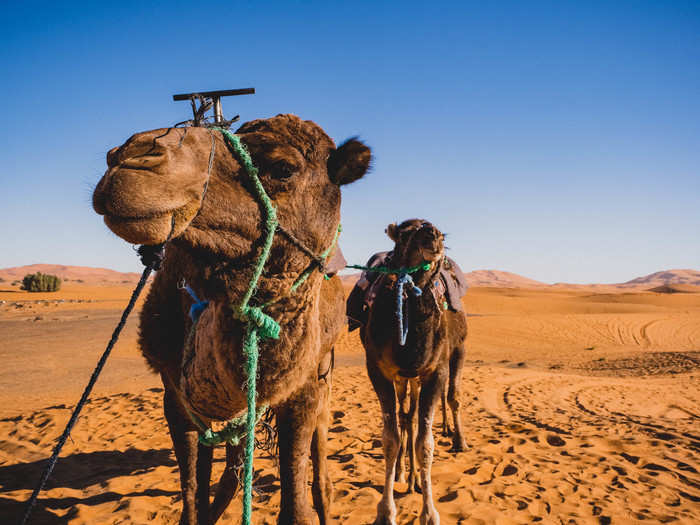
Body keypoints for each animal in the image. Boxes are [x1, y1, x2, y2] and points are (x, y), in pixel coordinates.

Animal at [93, 115, 372, 524]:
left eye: (283, 168)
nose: (130, 155)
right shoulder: (174, 393)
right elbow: (193, 495)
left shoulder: (305, 389)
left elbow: (296, 506)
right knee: (233, 465)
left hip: (324, 373)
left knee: (318, 465)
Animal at [352, 219, 468, 524]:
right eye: (403, 235)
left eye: (441, 235)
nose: (433, 236)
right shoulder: (378, 370)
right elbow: (390, 440)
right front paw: (385, 511)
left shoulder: (435, 370)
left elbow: (425, 443)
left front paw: (429, 513)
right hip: (402, 378)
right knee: (407, 417)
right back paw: (406, 474)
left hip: (458, 350)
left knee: (449, 399)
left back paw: (456, 443)